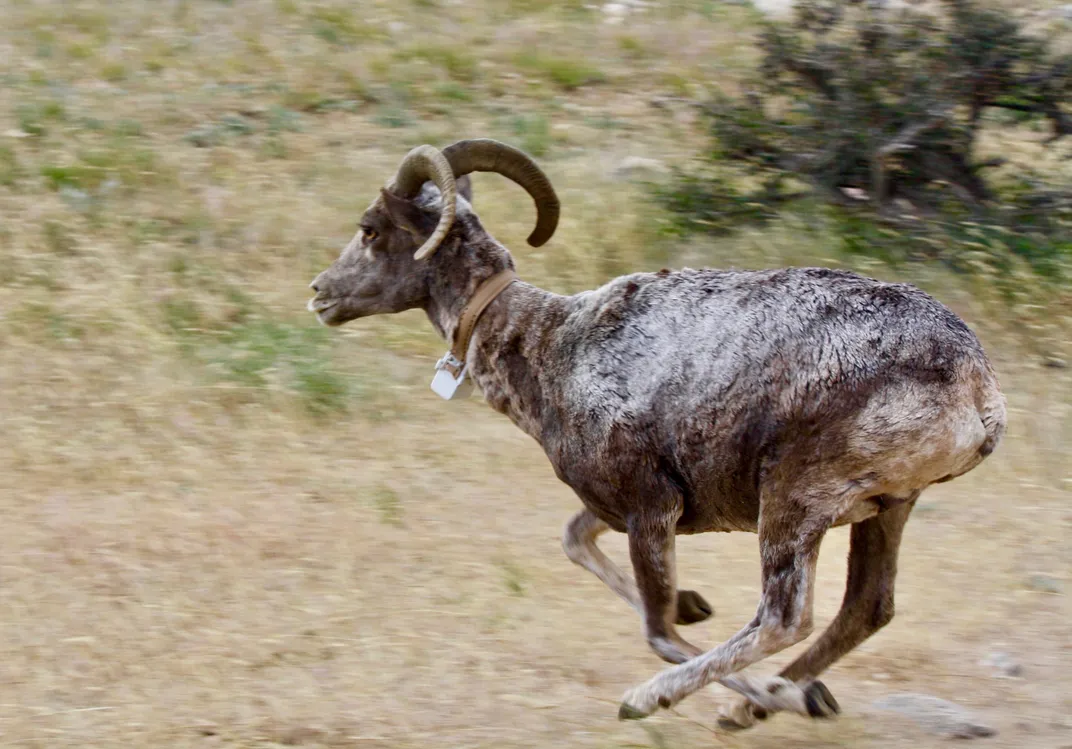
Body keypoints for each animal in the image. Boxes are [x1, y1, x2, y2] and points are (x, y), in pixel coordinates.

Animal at [308, 139, 1003, 728]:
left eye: (370, 230)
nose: (319, 295)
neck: (551, 346)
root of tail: (978, 391)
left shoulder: (649, 508)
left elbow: (659, 631)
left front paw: (674, 691)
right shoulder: (618, 507)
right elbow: (576, 544)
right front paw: (702, 609)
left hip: (795, 503)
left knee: (784, 618)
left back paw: (705, 699)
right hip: (886, 509)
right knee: (865, 609)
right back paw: (756, 707)